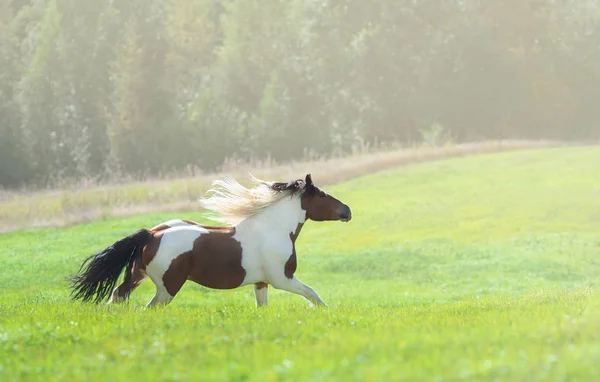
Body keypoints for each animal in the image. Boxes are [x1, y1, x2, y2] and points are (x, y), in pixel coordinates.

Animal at [68, 175, 352, 308]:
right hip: (168, 287)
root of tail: (151, 234)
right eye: (323, 195)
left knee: (117, 296)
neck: (273, 229)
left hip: (137, 275)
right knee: (149, 307)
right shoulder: (283, 279)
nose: (347, 211)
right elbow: (313, 295)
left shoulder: (261, 282)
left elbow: (263, 307)